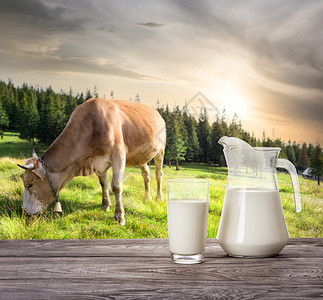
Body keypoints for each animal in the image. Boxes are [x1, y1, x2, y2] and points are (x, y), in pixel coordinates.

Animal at [18, 98, 166, 225]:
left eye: (29, 184)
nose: (25, 212)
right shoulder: (98, 163)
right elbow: (103, 183)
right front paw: (105, 205)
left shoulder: (119, 154)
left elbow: (116, 186)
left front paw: (119, 216)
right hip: (142, 156)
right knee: (146, 175)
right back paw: (147, 198)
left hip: (161, 149)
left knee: (158, 175)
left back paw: (159, 198)